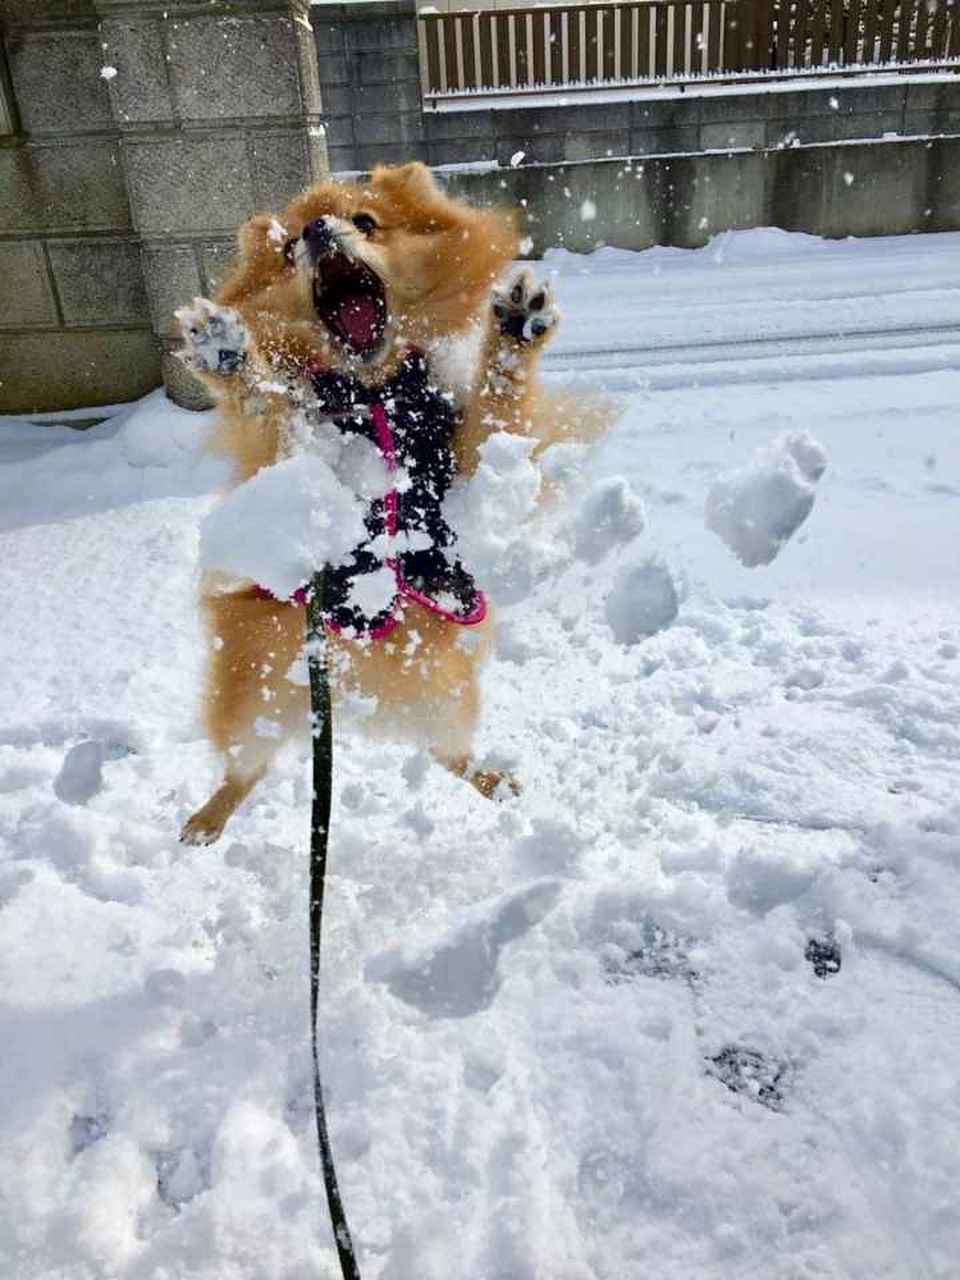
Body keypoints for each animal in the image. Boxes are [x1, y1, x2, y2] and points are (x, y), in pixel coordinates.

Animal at [174, 160, 593, 844]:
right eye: (286, 250)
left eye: (365, 221)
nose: (317, 228)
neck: (374, 394)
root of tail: (351, 700)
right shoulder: (288, 462)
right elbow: (271, 412)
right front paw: (228, 352)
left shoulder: (461, 462)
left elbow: (498, 413)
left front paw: (514, 330)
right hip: (253, 689)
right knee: (245, 765)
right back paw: (208, 818)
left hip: (444, 693)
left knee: (448, 755)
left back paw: (494, 781)